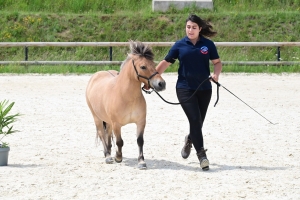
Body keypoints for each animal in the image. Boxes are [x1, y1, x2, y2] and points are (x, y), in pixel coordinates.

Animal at [85, 40, 166, 169]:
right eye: (143, 66)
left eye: (153, 64)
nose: (161, 84)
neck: (127, 97)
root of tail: (96, 75)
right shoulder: (117, 124)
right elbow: (119, 141)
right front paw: (118, 157)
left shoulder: (141, 122)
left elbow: (140, 141)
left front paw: (141, 162)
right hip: (97, 117)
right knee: (102, 134)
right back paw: (108, 156)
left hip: (108, 121)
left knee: (108, 134)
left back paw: (109, 152)